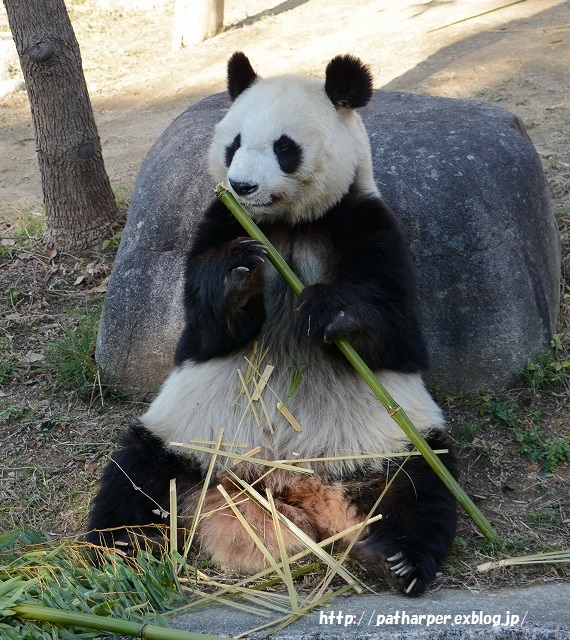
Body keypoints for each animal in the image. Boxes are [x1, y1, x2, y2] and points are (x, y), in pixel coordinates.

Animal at [85, 52, 458, 596]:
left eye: (285, 148)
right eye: (234, 143)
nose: (243, 186)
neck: (284, 226)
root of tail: (282, 484)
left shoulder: (364, 219)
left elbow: (396, 330)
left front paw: (328, 311)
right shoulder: (220, 221)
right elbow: (205, 327)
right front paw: (238, 275)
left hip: (384, 439)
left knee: (419, 484)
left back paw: (396, 560)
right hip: (190, 436)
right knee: (138, 475)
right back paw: (116, 552)